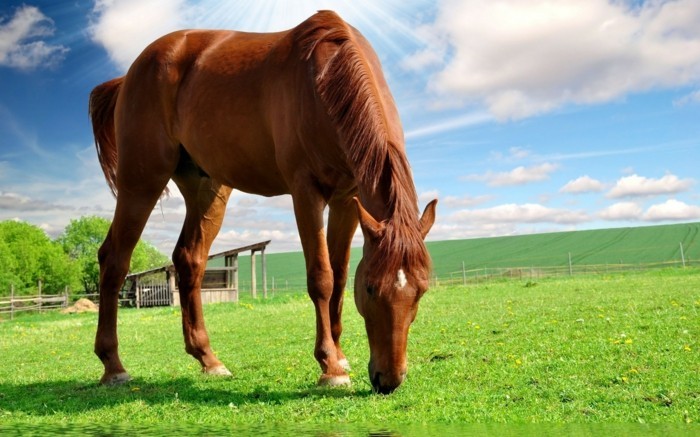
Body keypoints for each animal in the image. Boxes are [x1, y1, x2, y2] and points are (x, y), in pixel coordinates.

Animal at [89, 10, 434, 394]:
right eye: (372, 288)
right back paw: (113, 365)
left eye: (420, 291)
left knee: (189, 260)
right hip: (141, 181)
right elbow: (322, 277)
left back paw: (208, 359)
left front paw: (341, 355)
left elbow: (341, 276)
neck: (324, 80)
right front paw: (330, 366)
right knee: (114, 260)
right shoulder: (305, 192)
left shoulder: (347, 199)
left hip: (206, 189)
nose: (389, 380)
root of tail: (129, 75)